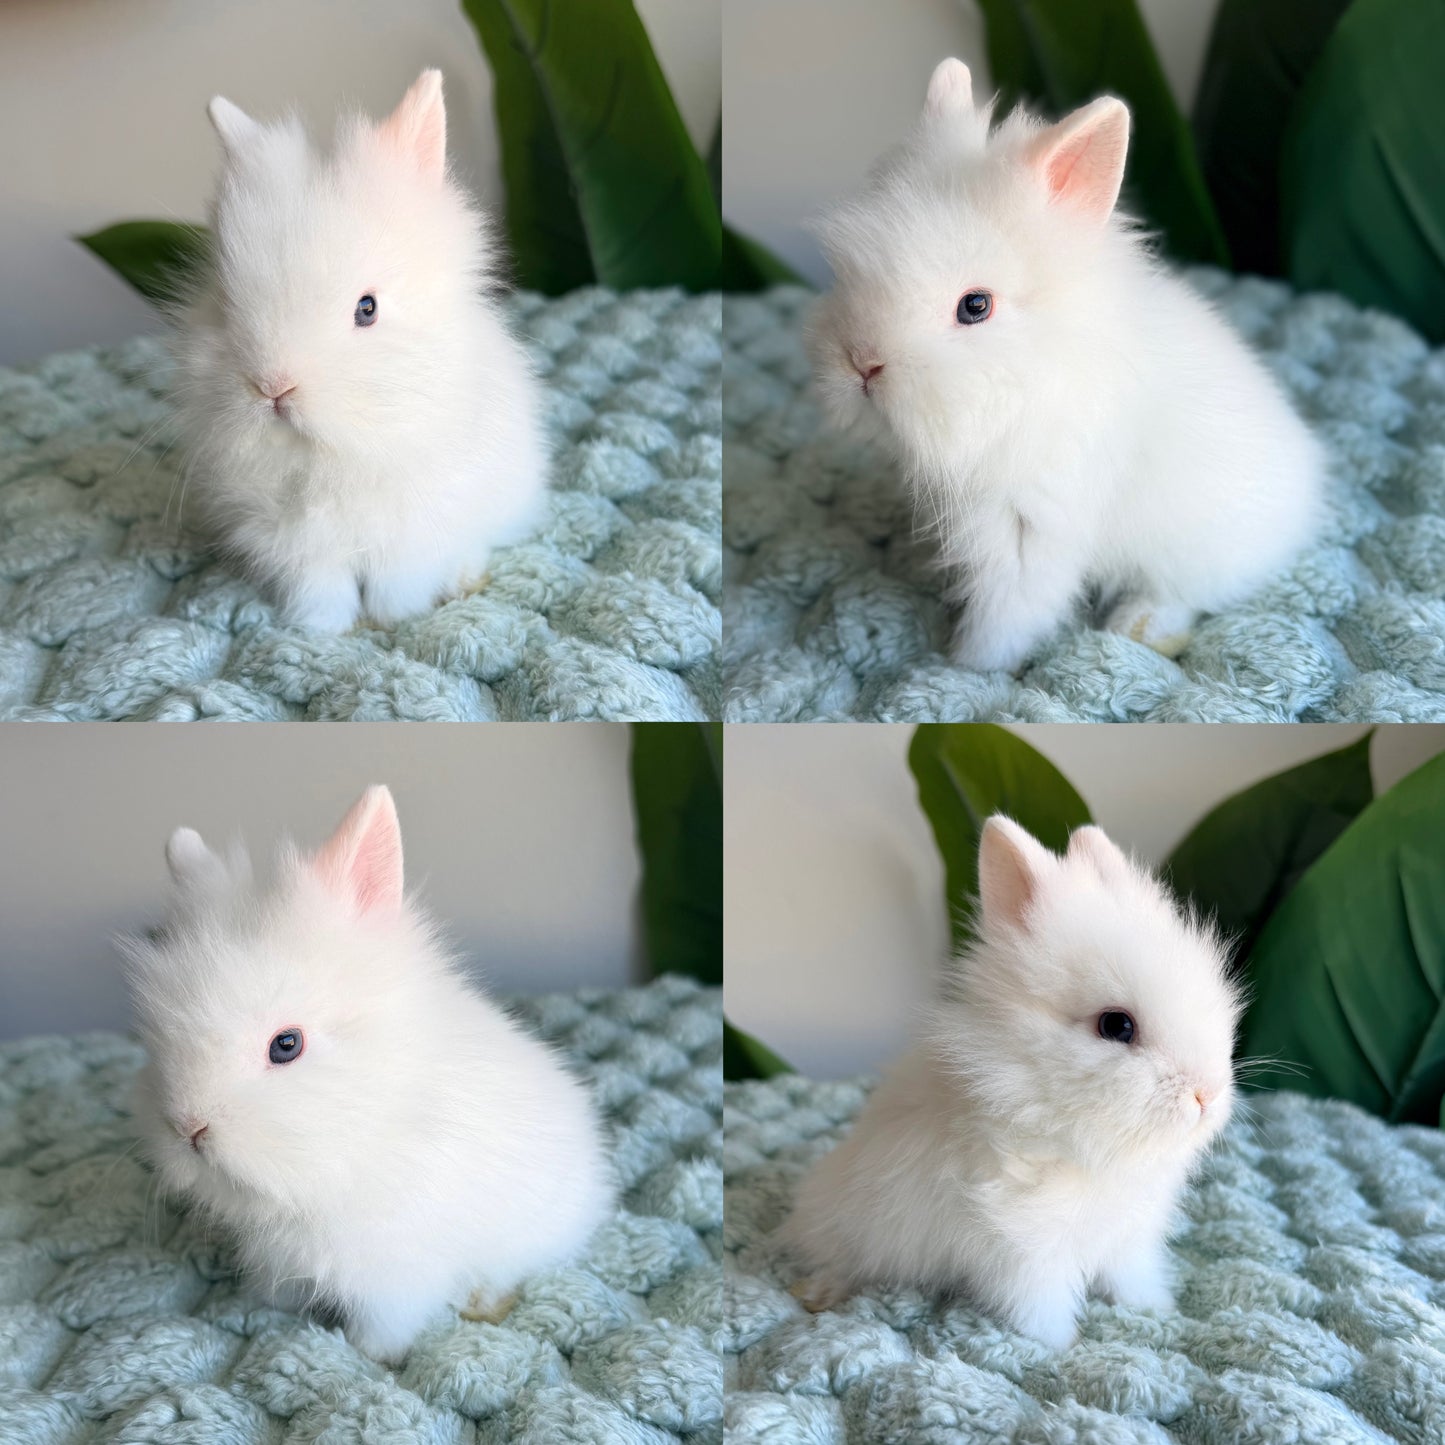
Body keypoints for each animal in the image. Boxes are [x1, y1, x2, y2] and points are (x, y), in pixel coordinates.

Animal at [121, 784, 614, 1363]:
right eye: (156, 1039)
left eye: (286, 1045)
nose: (187, 1127)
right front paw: (267, 1304)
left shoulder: (395, 1277)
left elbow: (383, 1328)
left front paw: (370, 1358)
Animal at [170, 69, 550, 633]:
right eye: (225, 302)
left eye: (366, 309)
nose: (273, 387)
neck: (328, 459)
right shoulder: (299, 546)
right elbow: (322, 591)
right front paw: (325, 631)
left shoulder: (412, 535)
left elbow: (397, 585)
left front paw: (391, 622)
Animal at [781, 815, 1241, 1351]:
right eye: (1116, 1026)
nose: (1206, 1095)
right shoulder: (1027, 1252)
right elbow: (1041, 1308)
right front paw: (1065, 1348)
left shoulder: (1127, 1241)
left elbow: (1132, 1282)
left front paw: (1159, 1312)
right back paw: (818, 1294)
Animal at [807, 58, 1325, 673]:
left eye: (975, 305)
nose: (862, 364)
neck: (1037, 368)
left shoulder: (1031, 528)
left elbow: (1011, 611)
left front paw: (967, 668)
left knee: (1186, 596)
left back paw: (1138, 627)